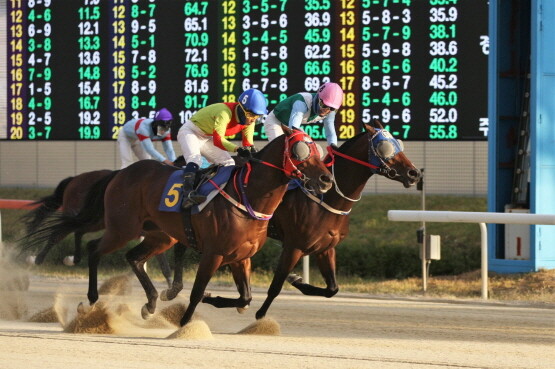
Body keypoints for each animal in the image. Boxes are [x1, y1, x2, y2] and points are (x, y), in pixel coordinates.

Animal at [26, 127, 332, 324]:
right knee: (94, 249)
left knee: (133, 257)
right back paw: (89, 300)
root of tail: (120, 173)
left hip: (160, 235)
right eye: (302, 150)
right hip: (122, 228)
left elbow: (244, 298)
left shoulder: (241, 257)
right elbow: (196, 292)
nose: (327, 179)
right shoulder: (213, 254)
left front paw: (212, 299)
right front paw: (185, 322)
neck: (247, 196)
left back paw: (150, 303)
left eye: (319, 151)